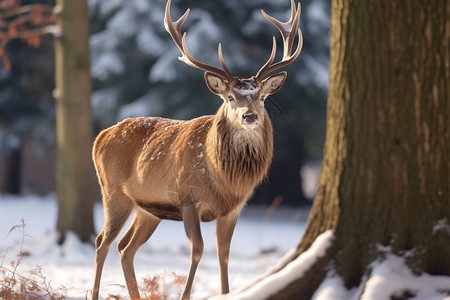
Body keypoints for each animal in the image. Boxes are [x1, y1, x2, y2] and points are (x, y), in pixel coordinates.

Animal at [91, 0, 302, 298]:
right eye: (230, 97)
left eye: (262, 97)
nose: (249, 116)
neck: (225, 180)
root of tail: (101, 135)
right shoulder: (189, 198)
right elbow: (198, 250)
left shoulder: (234, 209)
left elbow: (223, 254)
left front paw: (226, 291)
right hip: (113, 192)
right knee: (102, 242)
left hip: (147, 209)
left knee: (125, 248)